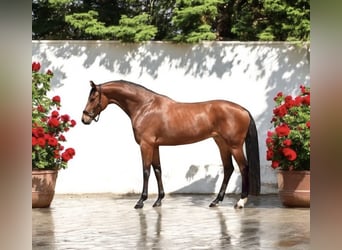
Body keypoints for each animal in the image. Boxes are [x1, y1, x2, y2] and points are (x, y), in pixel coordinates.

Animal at [82, 80, 260, 209]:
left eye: (92, 98)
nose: (84, 119)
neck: (145, 106)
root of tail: (243, 110)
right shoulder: (155, 146)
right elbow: (158, 170)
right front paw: (158, 201)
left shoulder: (146, 145)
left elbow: (146, 171)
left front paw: (141, 201)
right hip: (221, 143)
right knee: (228, 168)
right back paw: (216, 201)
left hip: (235, 146)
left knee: (244, 168)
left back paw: (240, 202)